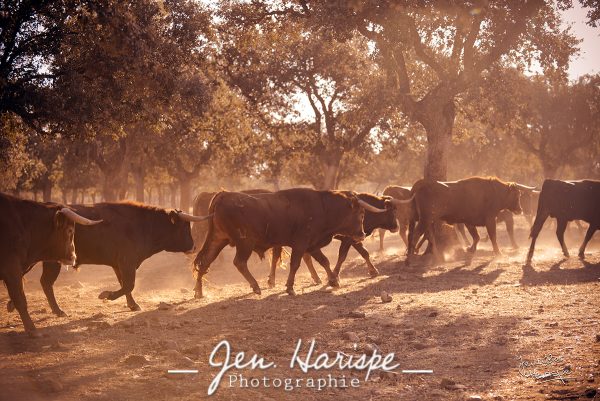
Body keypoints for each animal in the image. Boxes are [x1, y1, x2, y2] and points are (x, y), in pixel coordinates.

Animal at [0, 193, 101, 334]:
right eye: (70, 230)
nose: (73, 256)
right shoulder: (12, 268)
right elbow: (20, 297)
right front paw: (32, 330)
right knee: (45, 282)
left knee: (46, 282)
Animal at [40, 202, 206, 310]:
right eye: (184, 227)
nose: (194, 247)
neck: (143, 225)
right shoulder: (127, 262)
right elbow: (128, 285)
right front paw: (107, 295)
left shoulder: (119, 264)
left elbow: (125, 284)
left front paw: (132, 304)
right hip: (52, 261)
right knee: (46, 283)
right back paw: (58, 310)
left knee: (45, 283)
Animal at [192, 188, 380, 296]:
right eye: (361, 214)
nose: (362, 234)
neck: (323, 207)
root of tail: (223, 195)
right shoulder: (301, 244)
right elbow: (295, 264)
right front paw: (290, 287)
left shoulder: (312, 244)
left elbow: (324, 261)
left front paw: (333, 280)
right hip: (244, 243)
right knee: (239, 262)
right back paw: (255, 286)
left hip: (218, 239)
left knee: (205, 262)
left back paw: (199, 291)